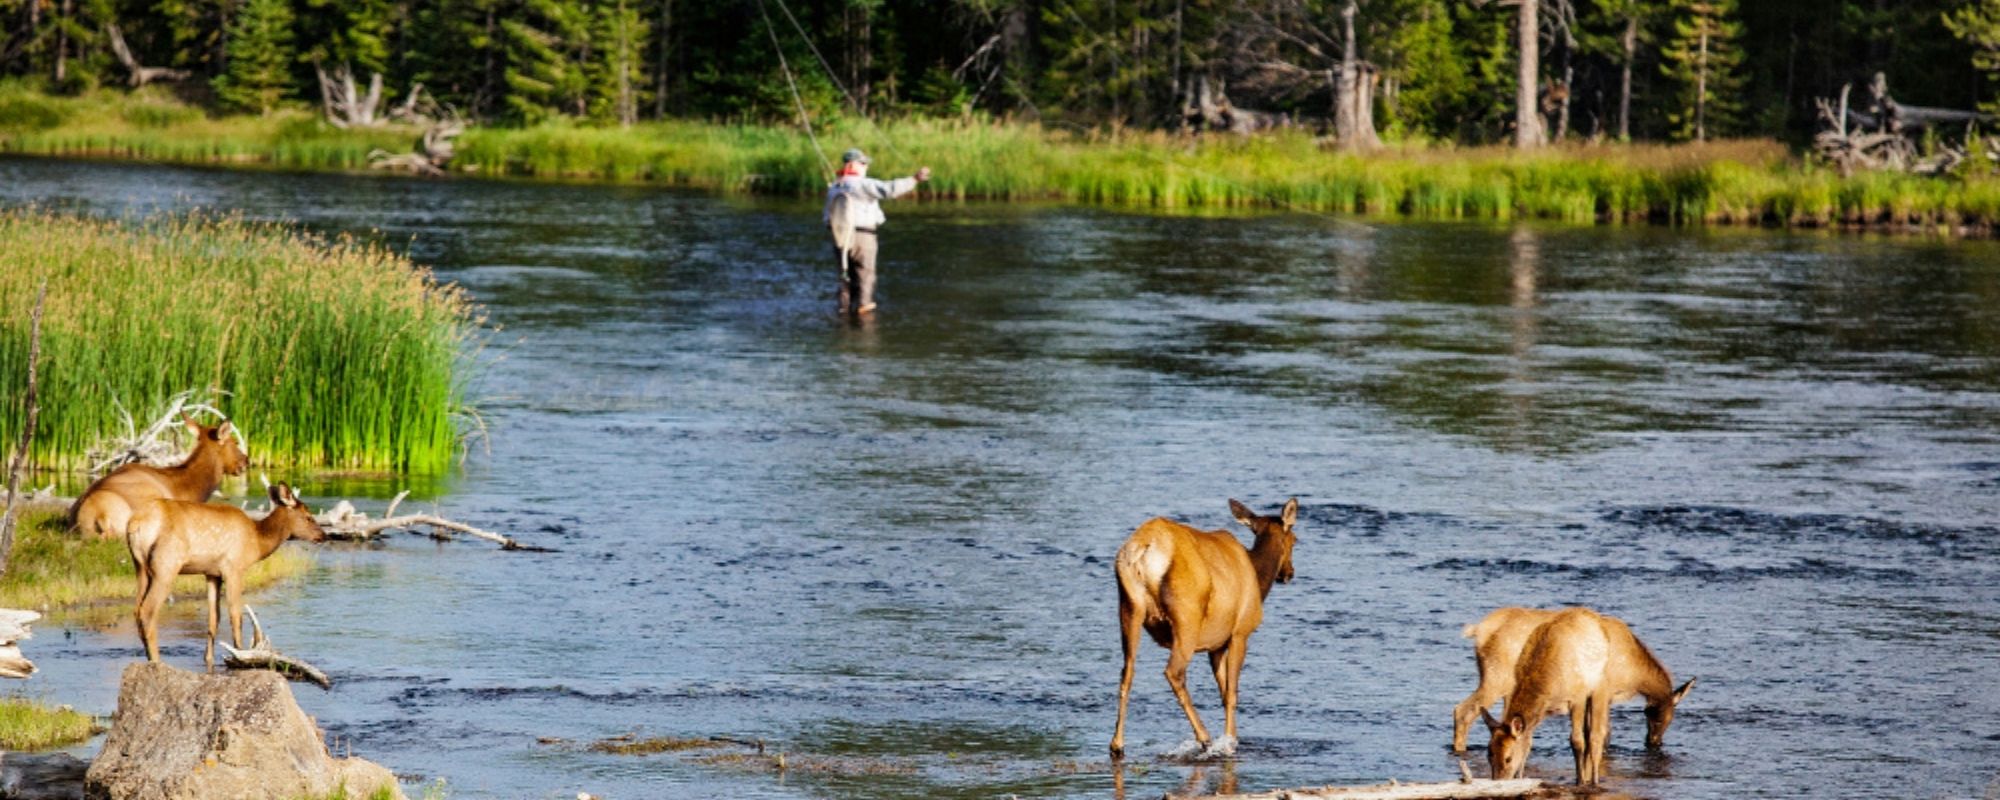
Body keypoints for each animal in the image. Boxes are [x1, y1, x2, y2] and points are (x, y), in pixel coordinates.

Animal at [127, 484, 324, 664]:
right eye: (308, 517)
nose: (324, 535)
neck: (257, 542)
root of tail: (135, 525)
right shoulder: (234, 568)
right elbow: (236, 615)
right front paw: (241, 655)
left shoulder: (212, 574)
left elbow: (214, 618)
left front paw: (208, 658)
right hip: (166, 565)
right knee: (147, 611)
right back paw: (156, 661)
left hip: (141, 567)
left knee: (136, 610)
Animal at [1104, 496, 1304, 760]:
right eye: (1294, 539)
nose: (1288, 573)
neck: (1259, 580)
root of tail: (1143, 550)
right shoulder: (1240, 633)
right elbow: (1232, 693)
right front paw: (1229, 741)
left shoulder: (1216, 646)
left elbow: (1223, 691)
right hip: (1186, 617)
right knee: (1174, 672)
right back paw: (1204, 738)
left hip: (1129, 607)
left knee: (1127, 671)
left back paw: (1117, 744)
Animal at [1480, 608, 1696, 784]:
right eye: (1488, 753)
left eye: (1508, 758)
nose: (1498, 781)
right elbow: (1529, 744)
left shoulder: (1580, 697)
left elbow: (1580, 740)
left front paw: (1584, 781)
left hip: (1598, 691)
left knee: (1596, 736)